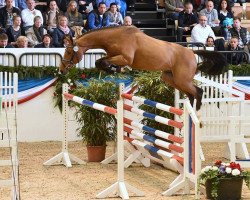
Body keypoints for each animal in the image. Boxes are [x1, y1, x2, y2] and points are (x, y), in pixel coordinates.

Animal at [59, 25, 228, 110]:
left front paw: (112, 69)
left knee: (198, 92)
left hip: (182, 80)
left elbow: (102, 62)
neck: (114, 37)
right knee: (191, 94)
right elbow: (100, 62)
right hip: (170, 78)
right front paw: (112, 69)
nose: (61, 69)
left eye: (69, 51)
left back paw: (196, 112)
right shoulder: (114, 56)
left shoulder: (125, 58)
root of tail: (192, 52)